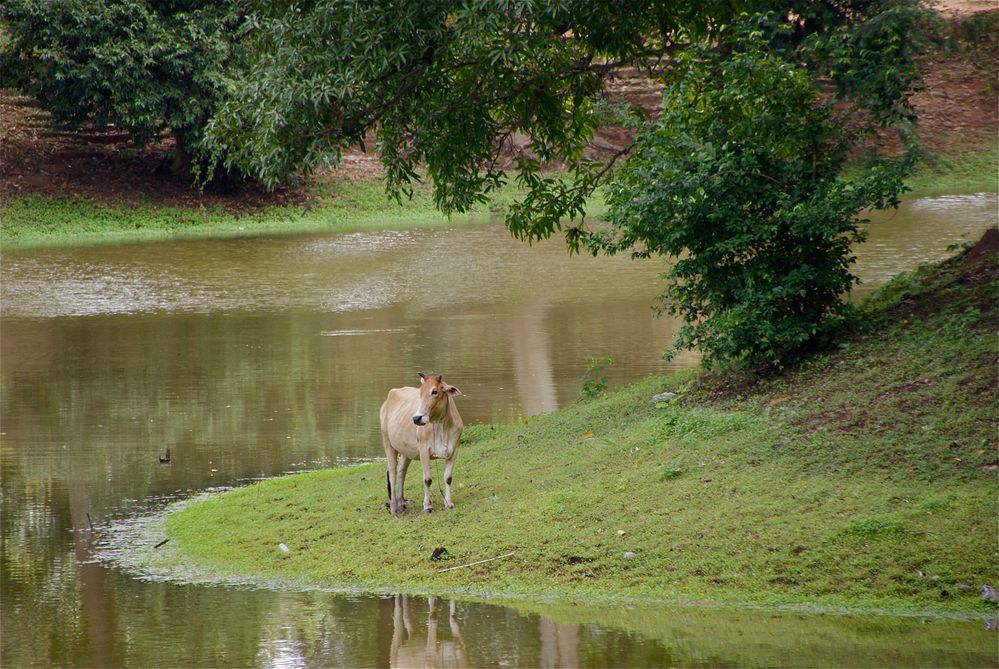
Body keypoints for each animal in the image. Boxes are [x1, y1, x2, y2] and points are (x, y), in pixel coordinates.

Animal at [378, 374, 464, 516]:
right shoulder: (424, 450)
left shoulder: (454, 450)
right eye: (420, 392)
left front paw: (448, 503)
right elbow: (427, 480)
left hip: (406, 451)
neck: (441, 426)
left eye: (434, 391)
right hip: (388, 444)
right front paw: (427, 506)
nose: (416, 418)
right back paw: (394, 507)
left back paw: (401, 502)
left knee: (401, 471)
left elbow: (448, 478)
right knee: (392, 473)